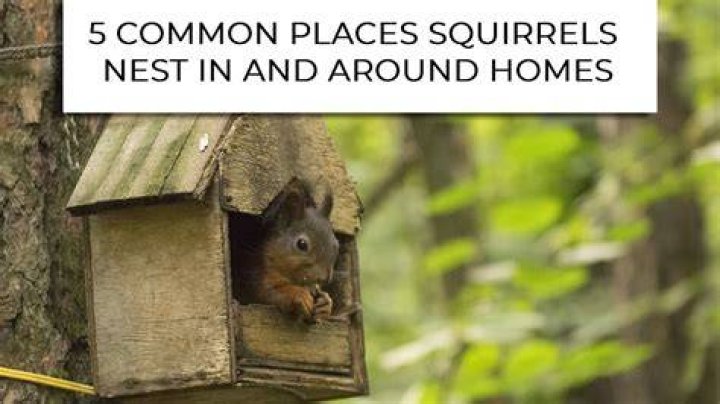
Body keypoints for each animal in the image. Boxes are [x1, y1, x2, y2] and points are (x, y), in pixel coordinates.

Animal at [233, 178, 340, 323]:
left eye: (336, 244)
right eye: (302, 244)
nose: (325, 278)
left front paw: (325, 304)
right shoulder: (256, 276)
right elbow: (270, 293)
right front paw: (299, 294)